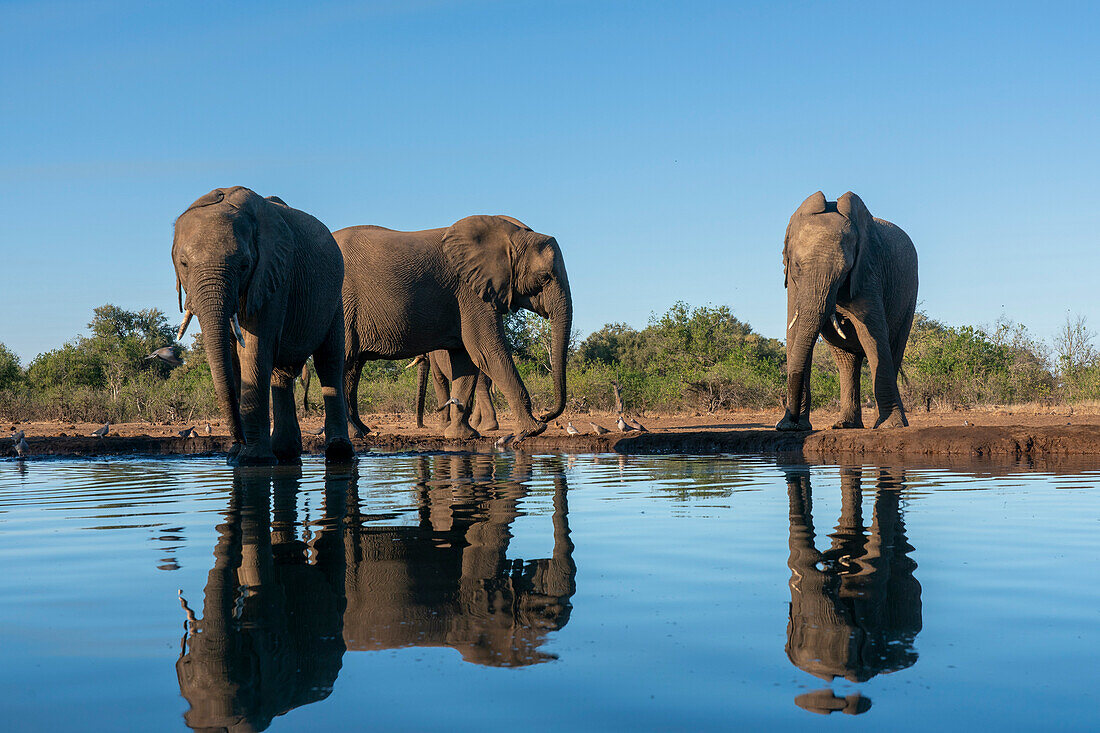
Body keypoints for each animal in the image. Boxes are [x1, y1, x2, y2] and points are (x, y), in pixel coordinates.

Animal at [171, 187, 352, 462]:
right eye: (184, 264)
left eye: (245, 265)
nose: (238, 440)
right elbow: (232, 355)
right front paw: (235, 456)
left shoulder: (272, 274)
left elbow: (253, 349)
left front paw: (251, 460)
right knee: (282, 374)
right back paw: (285, 453)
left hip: (334, 300)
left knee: (329, 363)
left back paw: (338, 452)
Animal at [338, 214, 572, 435]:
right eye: (544, 277)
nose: (546, 415)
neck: (511, 235)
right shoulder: (469, 292)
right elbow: (488, 351)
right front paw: (534, 430)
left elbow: (466, 359)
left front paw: (461, 436)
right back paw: (354, 432)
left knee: (352, 367)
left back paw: (361, 431)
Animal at [774, 191, 919, 431]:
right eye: (797, 267)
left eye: (844, 271)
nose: (791, 420)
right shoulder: (793, 286)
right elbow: (794, 333)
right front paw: (789, 427)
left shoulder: (868, 270)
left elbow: (873, 335)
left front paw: (891, 426)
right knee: (847, 362)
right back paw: (845, 425)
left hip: (910, 296)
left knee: (894, 348)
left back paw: (883, 424)